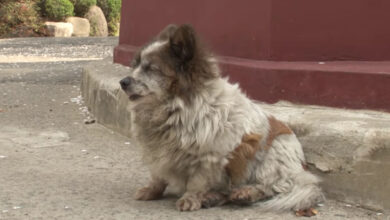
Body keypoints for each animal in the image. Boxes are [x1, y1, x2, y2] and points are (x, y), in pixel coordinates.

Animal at [119, 24, 322, 211]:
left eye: (151, 69)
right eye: (135, 65)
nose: (123, 82)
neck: (174, 108)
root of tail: (301, 169)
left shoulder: (208, 157)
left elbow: (197, 182)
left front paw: (190, 198)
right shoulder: (156, 151)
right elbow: (157, 176)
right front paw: (152, 190)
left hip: (271, 156)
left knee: (270, 187)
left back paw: (246, 193)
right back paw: (214, 197)